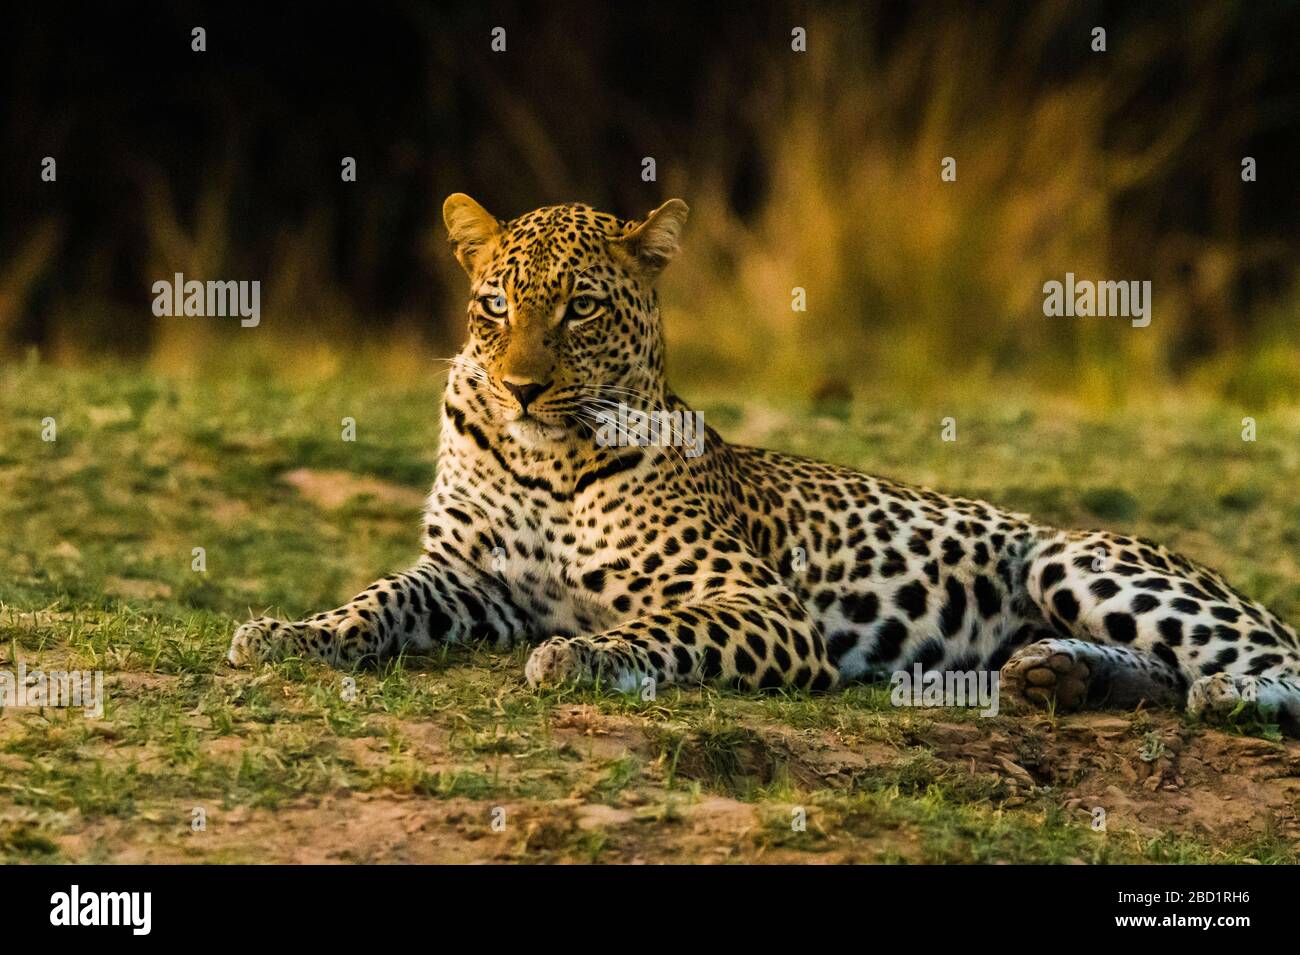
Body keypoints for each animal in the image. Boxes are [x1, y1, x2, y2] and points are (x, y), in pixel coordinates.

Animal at [227, 194, 1300, 735]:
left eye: (581, 307)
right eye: (495, 303)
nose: (522, 387)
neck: (548, 460)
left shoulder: (759, 604)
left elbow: (664, 630)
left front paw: (585, 655)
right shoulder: (467, 577)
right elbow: (377, 598)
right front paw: (288, 633)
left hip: (1071, 557)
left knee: (1257, 655)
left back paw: (1221, 693)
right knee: (1150, 667)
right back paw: (1055, 677)